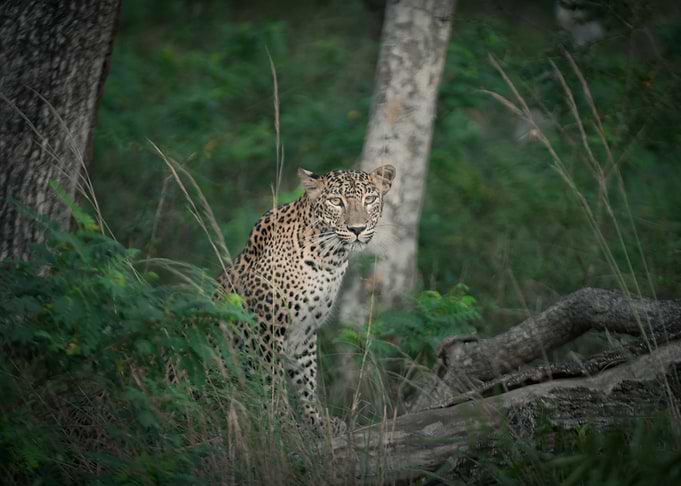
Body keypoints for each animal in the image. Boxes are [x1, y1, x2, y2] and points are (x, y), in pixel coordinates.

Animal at [215, 164, 395, 434]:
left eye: (370, 199)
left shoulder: (305, 330)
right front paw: (283, 425)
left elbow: (306, 379)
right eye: (336, 201)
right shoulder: (265, 328)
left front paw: (317, 421)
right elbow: (273, 379)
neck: (328, 258)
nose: (357, 229)